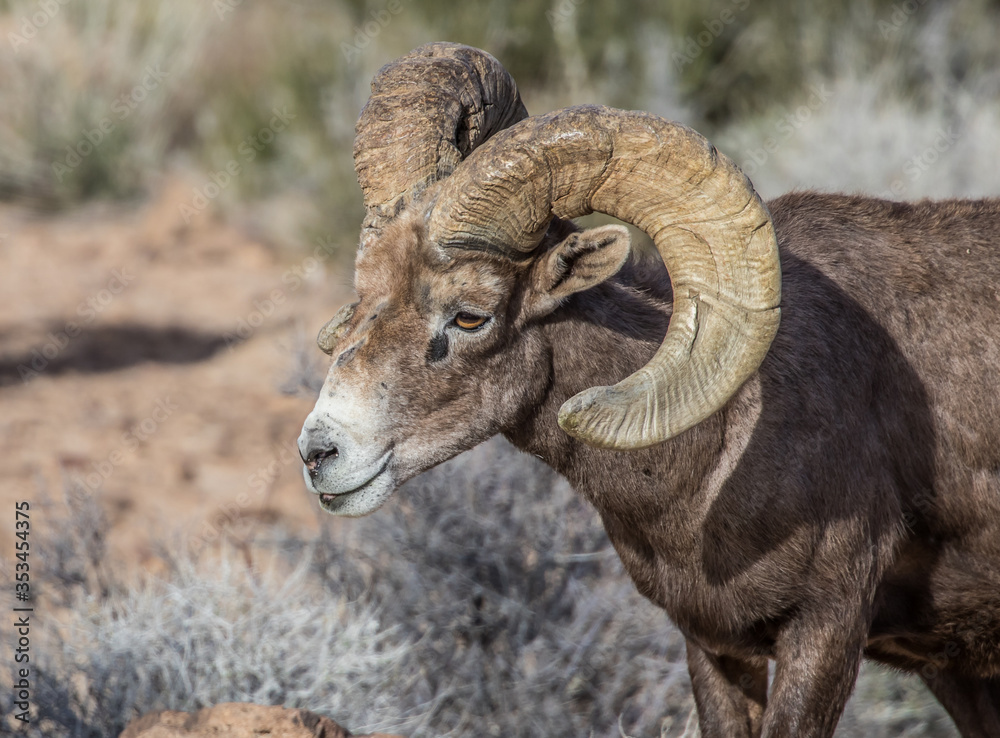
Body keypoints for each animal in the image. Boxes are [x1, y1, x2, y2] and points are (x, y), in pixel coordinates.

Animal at [296, 43, 1000, 732]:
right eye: (365, 295)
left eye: (470, 316)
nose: (319, 453)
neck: (719, 461)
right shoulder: (714, 647)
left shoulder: (824, 634)